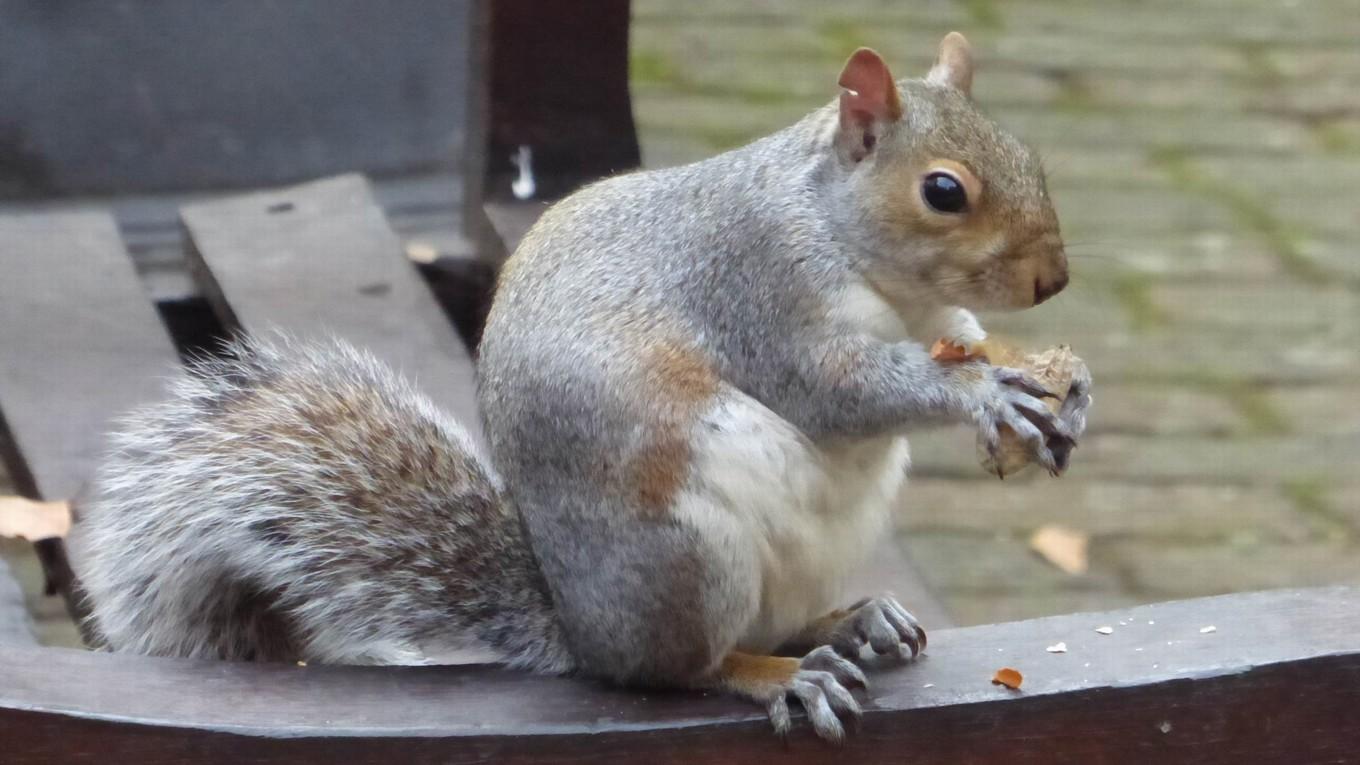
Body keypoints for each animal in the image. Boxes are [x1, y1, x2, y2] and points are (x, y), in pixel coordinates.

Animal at [77, 34, 1093, 740]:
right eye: (943, 192)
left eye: (1033, 158)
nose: (1055, 281)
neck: (850, 241)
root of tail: (579, 629)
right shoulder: (758, 287)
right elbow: (837, 388)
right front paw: (986, 395)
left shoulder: (934, 317)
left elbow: (964, 340)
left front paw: (1063, 379)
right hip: (686, 551)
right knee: (679, 668)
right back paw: (776, 672)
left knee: (782, 620)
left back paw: (850, 619)